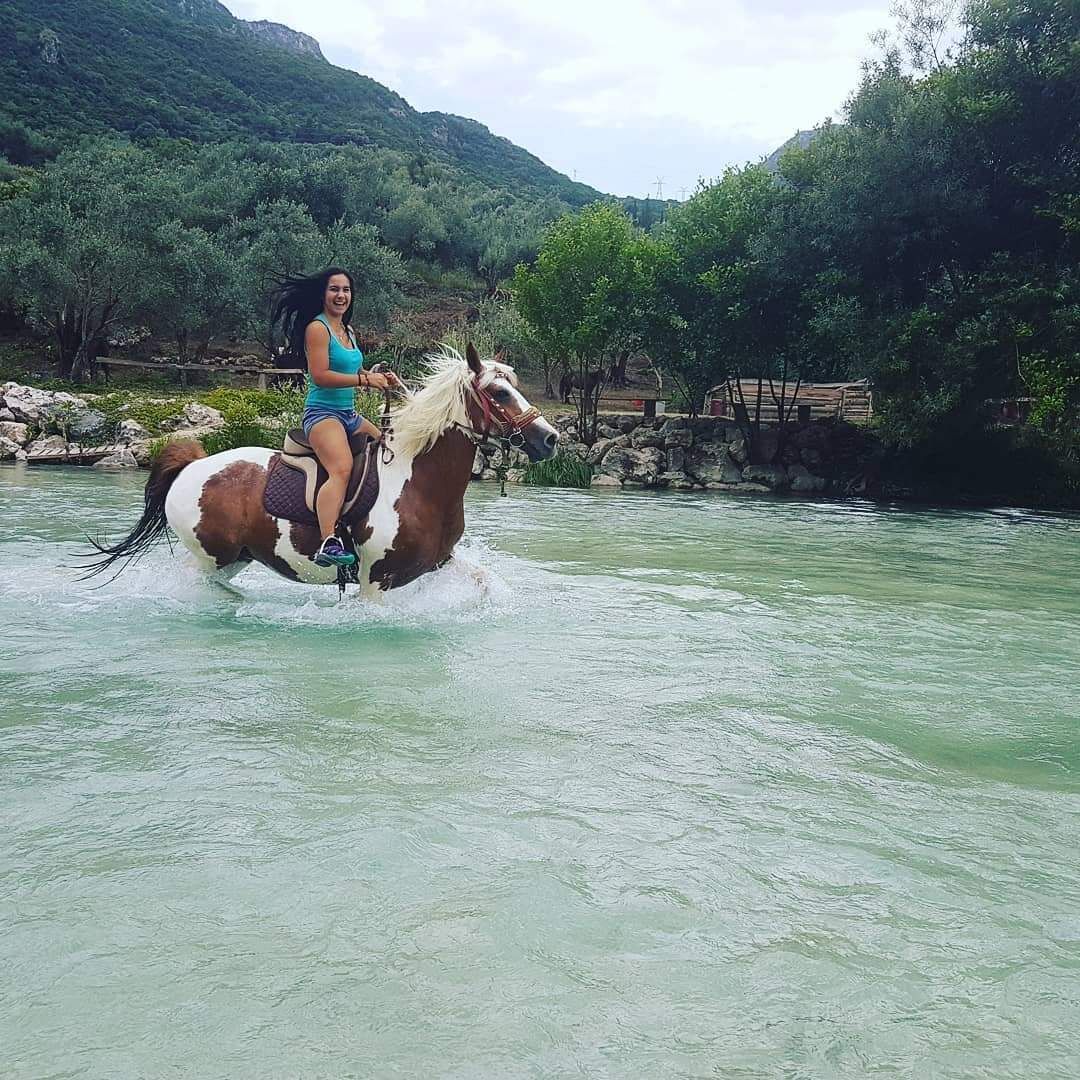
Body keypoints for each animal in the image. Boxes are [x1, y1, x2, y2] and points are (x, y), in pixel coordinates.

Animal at [84, 344, 558, 597]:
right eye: (499, 392)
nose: (550, 438)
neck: (420, 482)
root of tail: (193, 465)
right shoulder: (375, 583)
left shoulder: (440, 562)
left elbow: (484, 583)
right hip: (210, 558)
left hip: (234, 559)